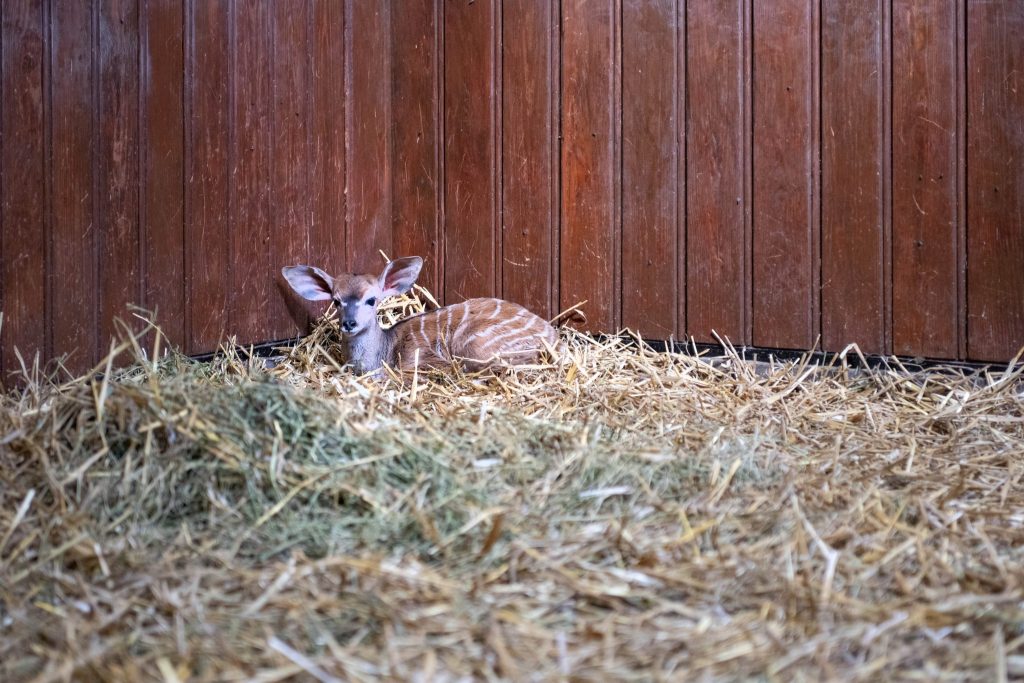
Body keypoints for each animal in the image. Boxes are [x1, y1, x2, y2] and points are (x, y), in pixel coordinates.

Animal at [281, 256, 559, 375]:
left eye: (371, 299)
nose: (350, 323)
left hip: (475, 345)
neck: (384, 352)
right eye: (336, 301)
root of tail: (554, 338)